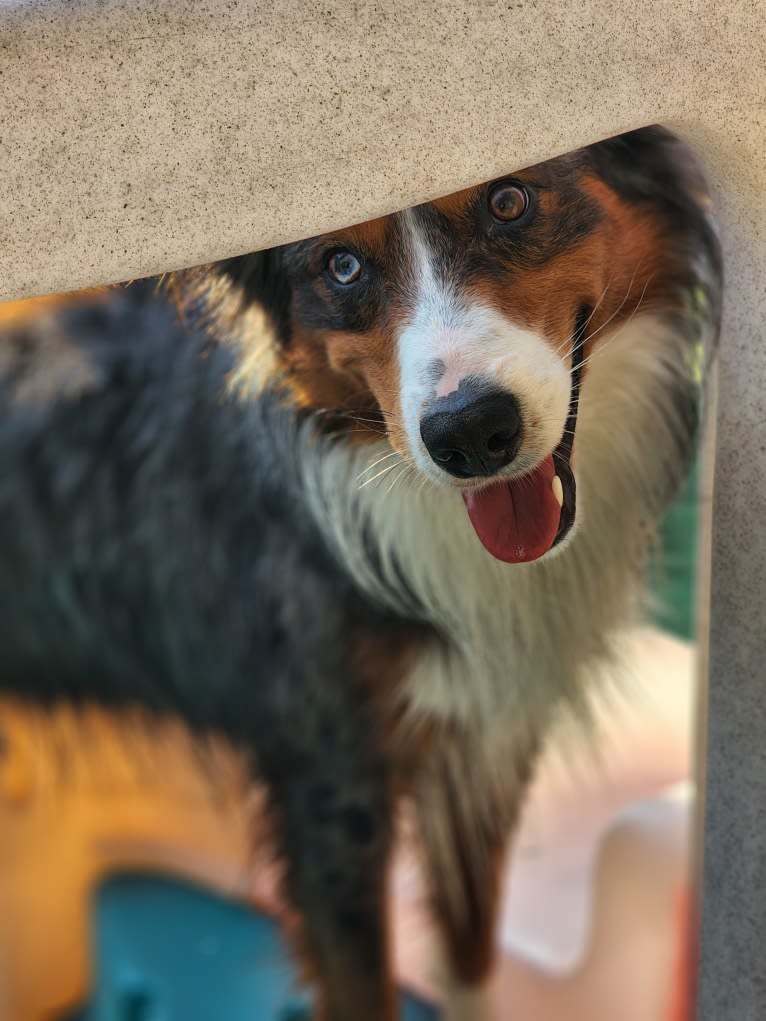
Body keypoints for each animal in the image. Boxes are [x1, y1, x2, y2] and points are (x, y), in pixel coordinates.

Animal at [0, 127, 719, 1021]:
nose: (471, 433)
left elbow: (471, 951)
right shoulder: (330, 789)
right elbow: (362, 984)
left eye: (509, 199)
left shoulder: (483, 745)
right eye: (340, 265)